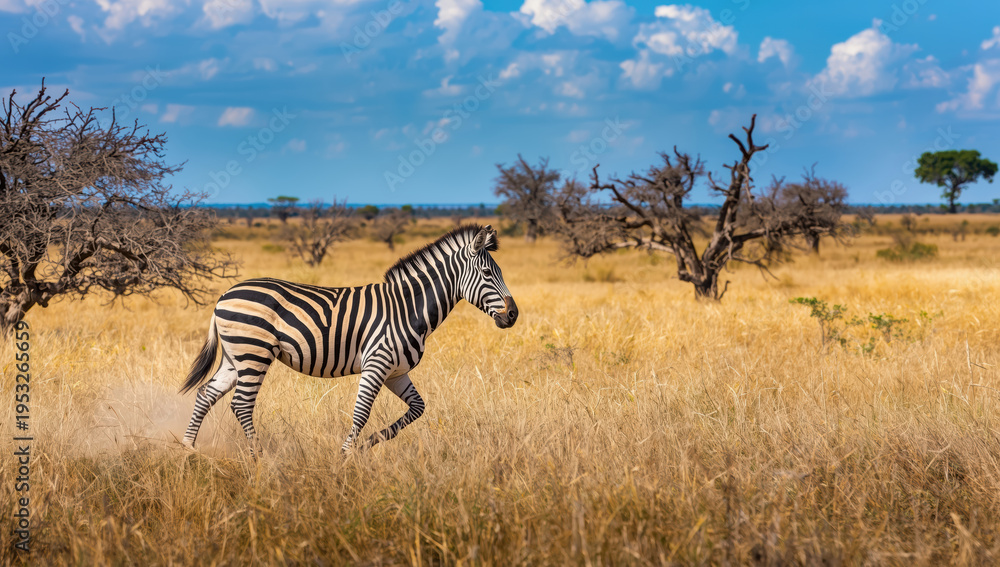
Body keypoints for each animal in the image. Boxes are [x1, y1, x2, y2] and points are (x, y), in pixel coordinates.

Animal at [179, 224, 518, 455]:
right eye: (488, 273)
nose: (513, 315)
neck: (409, 309)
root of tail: (224, 295)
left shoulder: (396, 373)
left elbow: (418, 409)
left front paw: (368, 444)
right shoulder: (377, 364)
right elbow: (362, 412)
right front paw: (345, 458)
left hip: (236, 357)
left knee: (206, 394)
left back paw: (188, 449)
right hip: (254, 354)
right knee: (241, 403)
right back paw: (258, 457)